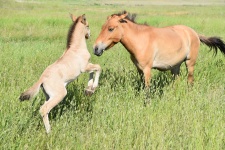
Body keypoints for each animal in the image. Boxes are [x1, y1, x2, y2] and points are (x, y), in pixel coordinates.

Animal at [92, 10, 225, 87]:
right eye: (102, 27)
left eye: (110, 29)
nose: (95, 48)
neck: (141, 40)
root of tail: (194, 33)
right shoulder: (139, 69)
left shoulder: (147, 69)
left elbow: (147, 89)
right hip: (175, 66)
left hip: (190, 64)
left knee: (190, 81)